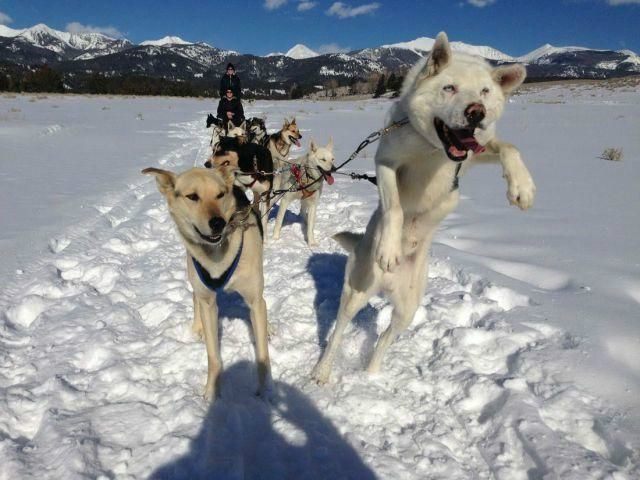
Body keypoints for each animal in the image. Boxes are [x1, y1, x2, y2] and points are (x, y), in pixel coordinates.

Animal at [142, 167, 270, 400]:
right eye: (192, 196)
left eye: (220, 194)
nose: (218, 222)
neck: (218, 253)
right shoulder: (208, 302)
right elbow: (213, 356)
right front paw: (211, 392)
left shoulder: (254, 300)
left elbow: (263, 355)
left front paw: (266, 392)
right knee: (195, 298)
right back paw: (197, 327)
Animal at [310, 31, 536, 384]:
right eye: (450, 87)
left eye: (485, 92)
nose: (477, 112)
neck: (433, 150)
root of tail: (386, 284)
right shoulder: (386, 164)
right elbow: (395, 209)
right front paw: (389, 248)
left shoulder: (475, 152)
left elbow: (507, 147)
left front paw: (521, 186)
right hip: (356, 291)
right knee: (338, 331)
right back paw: (323, 370)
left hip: (407, 309)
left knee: (385, 339)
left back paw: (372, 374)